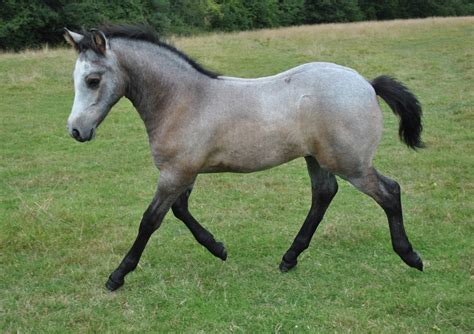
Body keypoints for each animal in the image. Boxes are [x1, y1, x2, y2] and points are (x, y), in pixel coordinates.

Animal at [64, 24, 426, 290]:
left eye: (93, 80)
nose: (76, 131)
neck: (184, 101)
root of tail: (366, 82)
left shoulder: (174, 174)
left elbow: (150, 221)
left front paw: (117, 276)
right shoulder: (185, 173)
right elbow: (181, 211)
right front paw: (218, 249)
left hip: (352, 164)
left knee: (389, 192)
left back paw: (410, 256)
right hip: (318, 159)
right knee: (324, 195)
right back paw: (289, 258)